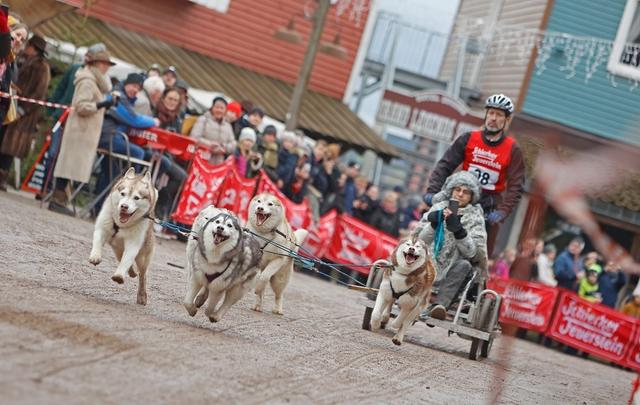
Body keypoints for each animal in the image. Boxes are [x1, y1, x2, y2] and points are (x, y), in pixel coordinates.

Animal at [88, 166, 158, 304]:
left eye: (136, 198)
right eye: (123, 194)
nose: (124, 206)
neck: (121, 225)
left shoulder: (133, 243)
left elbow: (127, 259)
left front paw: (119, 275)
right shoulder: (102, 227)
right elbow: (97, 240)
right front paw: (95, 256)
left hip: (143, 257)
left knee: (142, 275)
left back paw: (142, 294)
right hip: (117, 250)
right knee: (124, 260)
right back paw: (131, 272)